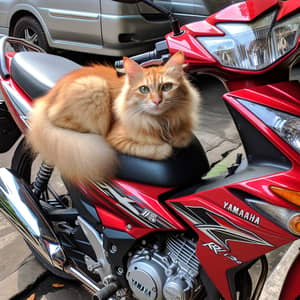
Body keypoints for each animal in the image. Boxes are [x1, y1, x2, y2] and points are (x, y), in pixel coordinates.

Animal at [27, 51, 202, 182]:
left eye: (167, 87)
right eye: (144, 89)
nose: (157, 101)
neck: (162, 121)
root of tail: (47, 97)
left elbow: (183, 138)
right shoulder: (118, 139)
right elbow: (161, 149)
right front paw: (167, 146)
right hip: (95, 87)